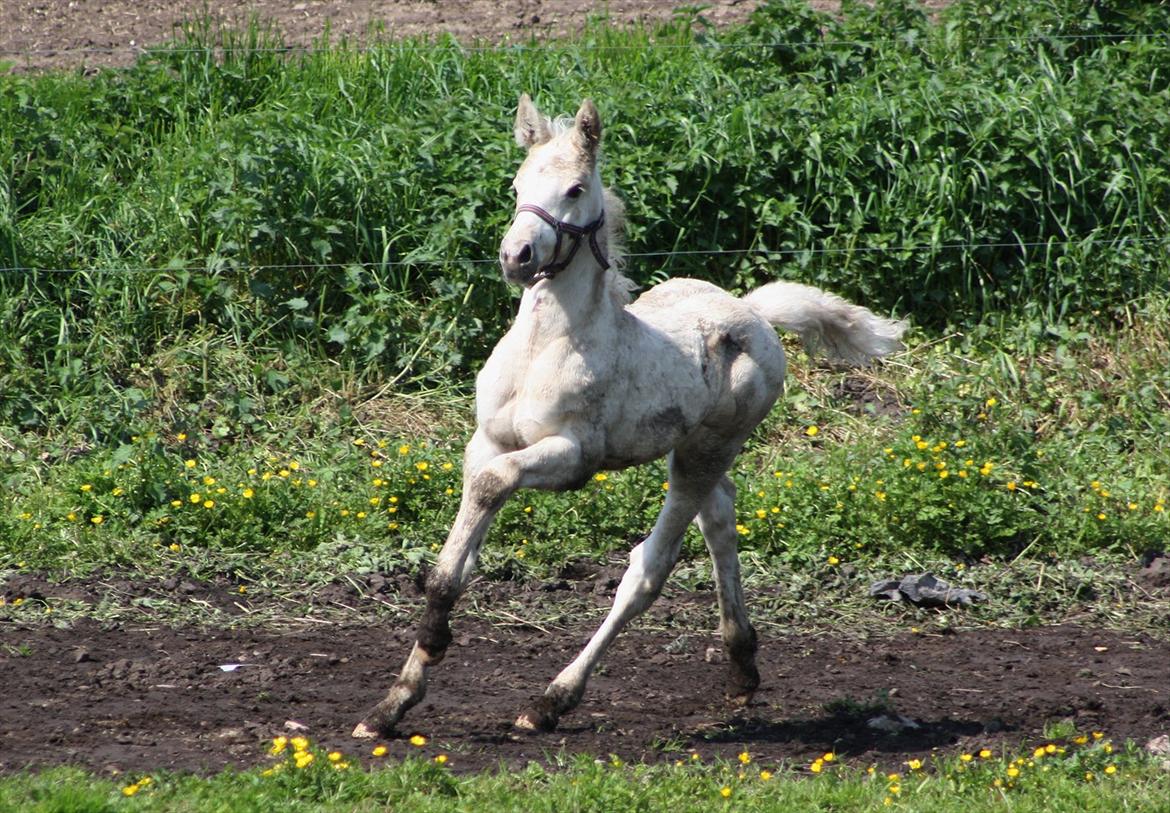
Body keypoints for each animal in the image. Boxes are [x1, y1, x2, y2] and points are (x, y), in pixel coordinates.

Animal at [351, 93, 907, 739]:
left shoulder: (572, 456)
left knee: (648, 569)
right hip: (693, 448)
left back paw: (553, 700)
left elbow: (496, 486)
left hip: (707, 450)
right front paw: (392, 703)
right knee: (721, 517)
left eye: (574, 189)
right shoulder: (486, 441)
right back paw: (741, 663)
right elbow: (452, 563)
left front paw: (432, 651)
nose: (516, 257)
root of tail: (752, 313)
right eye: (516, 186)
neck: (543, 348)